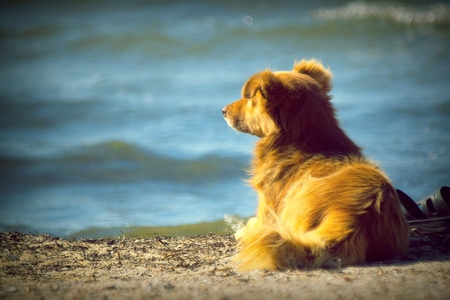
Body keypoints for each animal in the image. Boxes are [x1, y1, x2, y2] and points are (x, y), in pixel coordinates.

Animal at [222, 59, 412, 270]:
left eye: (249, 99)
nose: (223, 111)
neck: (306, 141)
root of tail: (353, 217)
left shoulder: (268, 211)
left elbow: (253, 223)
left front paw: (243, 229)